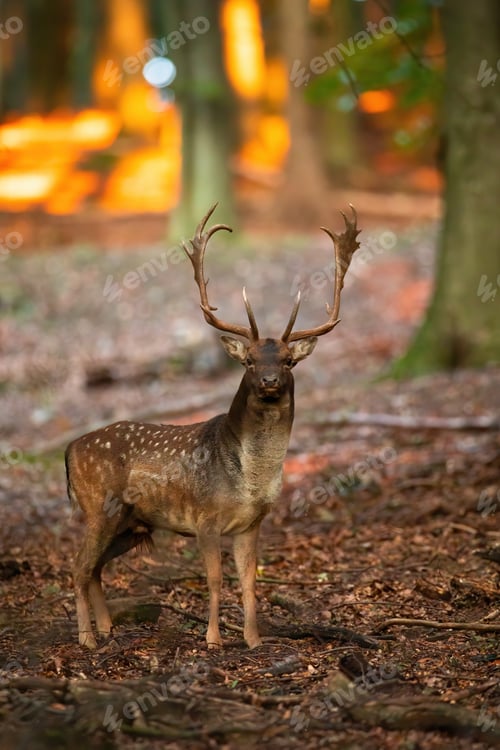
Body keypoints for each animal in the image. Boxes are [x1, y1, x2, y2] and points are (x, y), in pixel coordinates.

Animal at [66, 203, 360, 650]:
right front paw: (213, 639)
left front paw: (254, 640)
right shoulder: (204, 520)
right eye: (249, 361)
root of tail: (69, 449)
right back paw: (86, 638)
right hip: (99, 505)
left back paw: (107, 628)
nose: (269, 380)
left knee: (95, 567)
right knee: (79, 566)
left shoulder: (252, 524)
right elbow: (216, 579)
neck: (249, 480)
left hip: (131, 524)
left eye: (289, 361)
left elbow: (249, 582)